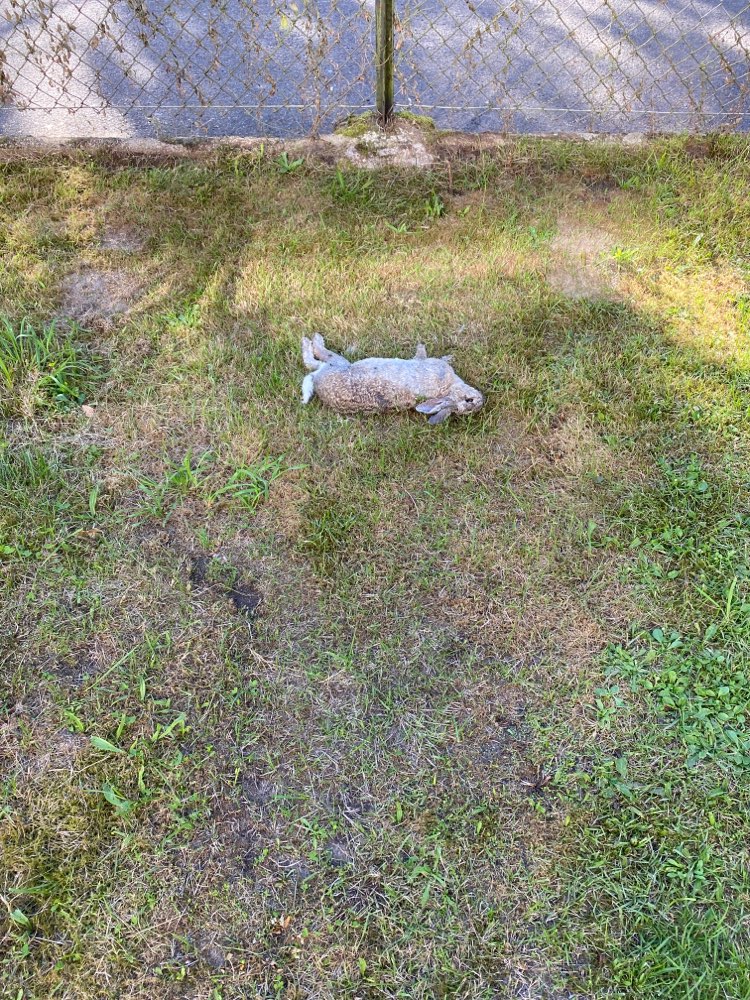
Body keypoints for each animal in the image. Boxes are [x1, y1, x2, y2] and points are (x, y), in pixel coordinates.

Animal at [301, 333, 484, 424]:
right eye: (469, 400)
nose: (482, 400)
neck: (448, 388)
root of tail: (317, 381)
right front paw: (446, 356)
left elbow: (420, 356)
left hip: (337, 363)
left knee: (315, 358)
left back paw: (311, 339)